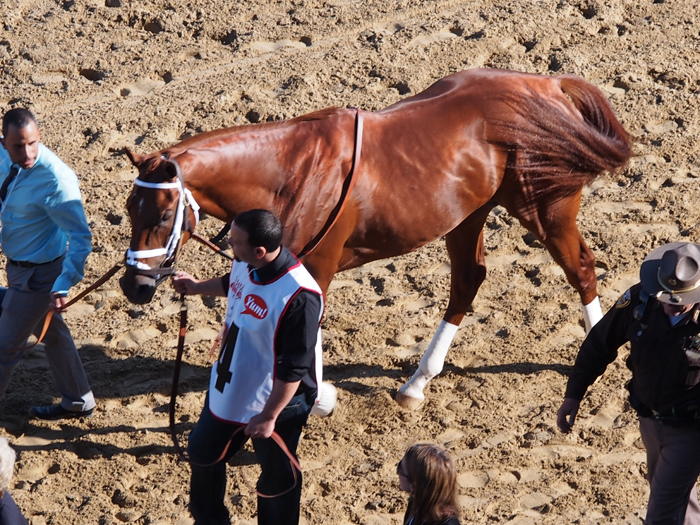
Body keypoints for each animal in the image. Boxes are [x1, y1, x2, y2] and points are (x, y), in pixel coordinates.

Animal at [119, 67, 628, 408]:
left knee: (581, 267)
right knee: (468, 281)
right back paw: (417, 383)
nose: (133, 285)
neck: (290, 172)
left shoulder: (315, 266)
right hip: (467, 216)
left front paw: (321, 397)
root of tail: (548, 85)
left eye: (164, 214)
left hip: (545, 209)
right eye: (128, 208)